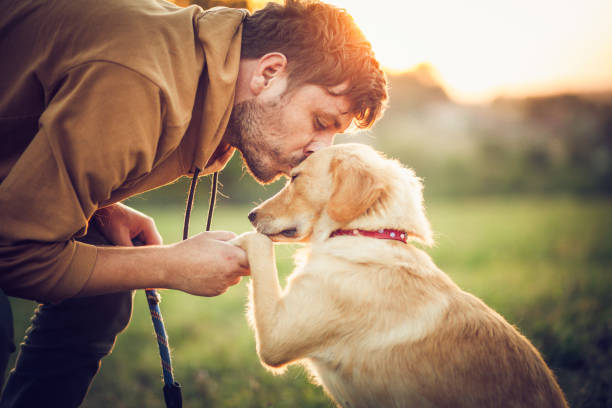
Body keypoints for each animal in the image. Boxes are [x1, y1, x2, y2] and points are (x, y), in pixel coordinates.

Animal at [232, 143, 568, 408]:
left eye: (295, 178)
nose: (250, 215)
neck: (365, 232)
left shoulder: (276, 338)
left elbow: (259, 246)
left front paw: (235, 240)